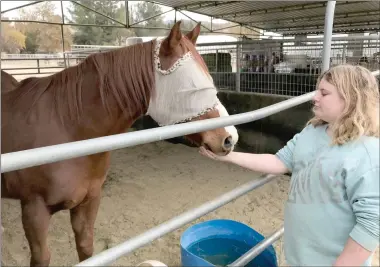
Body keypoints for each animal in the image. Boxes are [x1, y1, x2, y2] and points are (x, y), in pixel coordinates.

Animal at [0, 21, 239, 267]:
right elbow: (42, 258)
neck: (66, 125)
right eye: (191, 85)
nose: (230, 138)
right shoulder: (34, 210)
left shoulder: (89, 201)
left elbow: (86, 248)